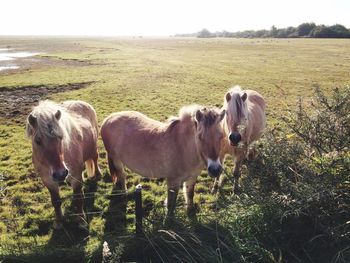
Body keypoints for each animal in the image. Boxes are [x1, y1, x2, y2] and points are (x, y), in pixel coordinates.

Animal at [26, 100, 102, 229]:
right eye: (38, 141)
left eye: (60, 137)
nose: (60, 174)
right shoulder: (48, 181)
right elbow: (56, 201)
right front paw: (58, 221)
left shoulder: (76, 177)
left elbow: (78, 198)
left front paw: (81, 220)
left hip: (93, 148)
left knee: (95, 160)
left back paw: (97, 175)